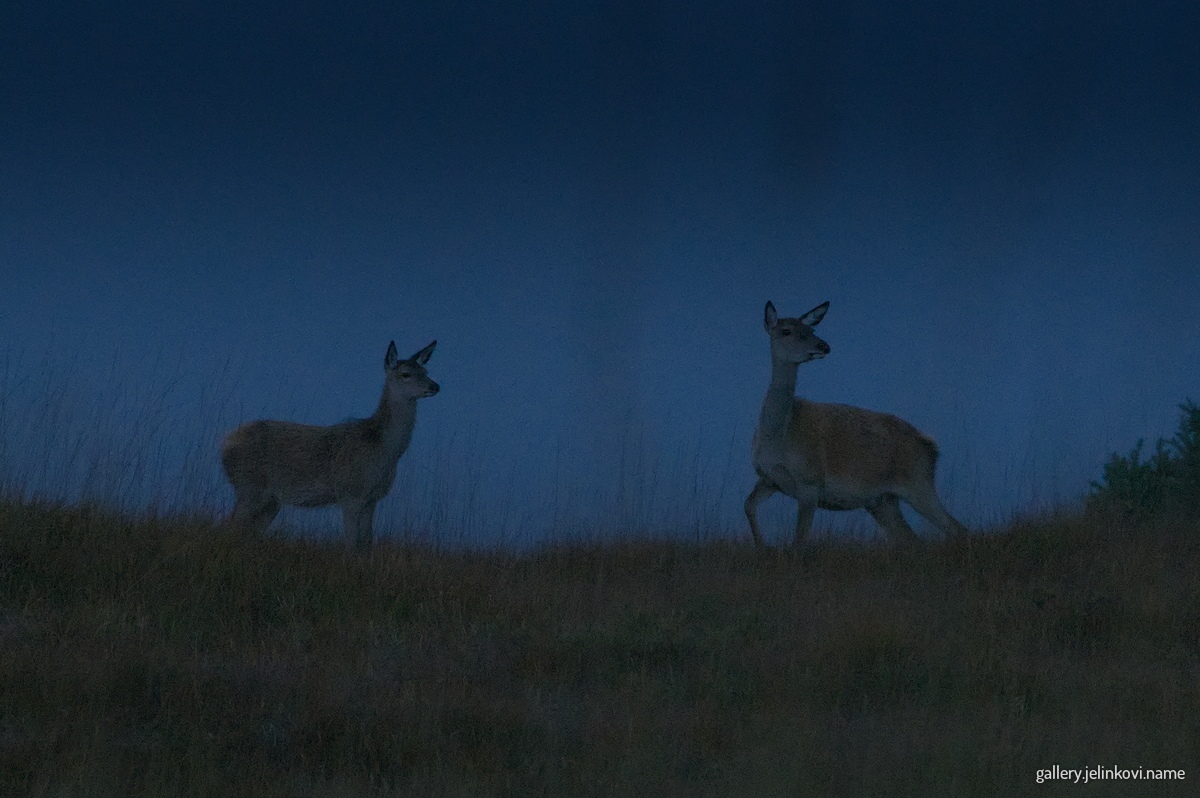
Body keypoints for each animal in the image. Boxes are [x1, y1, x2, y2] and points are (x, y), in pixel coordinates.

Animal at [220, 339, 438, 552]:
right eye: (406, 374)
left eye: (426, 371)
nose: (435, 386)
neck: (385, 451)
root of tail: (225, 443)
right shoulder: (350, 492)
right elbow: (351, 543)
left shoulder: (372, 498)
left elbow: (366, 543)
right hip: (249, 485)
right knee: (231, 526)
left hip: (270, 500)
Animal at [746, 300, 967, 547]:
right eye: (786, 331)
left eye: (811, 329)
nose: (824, 346)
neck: (777, 438)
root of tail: (932, 445)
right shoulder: (769, 479)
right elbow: (748, 506)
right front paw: (762, 546)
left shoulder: (810, 482)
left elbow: (800, 541)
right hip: (882, 500)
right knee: (909, 538)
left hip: (918, 482)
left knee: (956, 528)